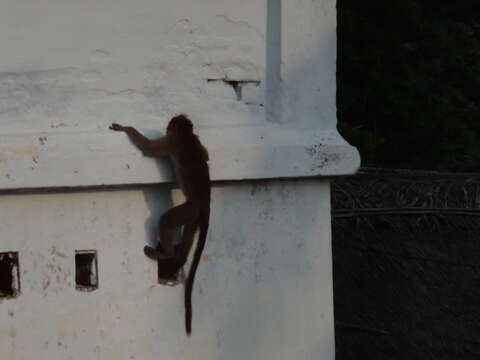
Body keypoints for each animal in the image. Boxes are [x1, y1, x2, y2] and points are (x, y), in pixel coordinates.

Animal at [111, 114, 211, 334]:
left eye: (170, 126)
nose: (166, 127)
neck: (187, 134)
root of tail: (206, 202)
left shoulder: (172, 141)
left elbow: (147, 148)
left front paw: (125, 128)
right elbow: (206, 155)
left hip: (190, 209)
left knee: (166, 220)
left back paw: (165, 253)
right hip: (194, 215)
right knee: (188, 237)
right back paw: (178, 259)